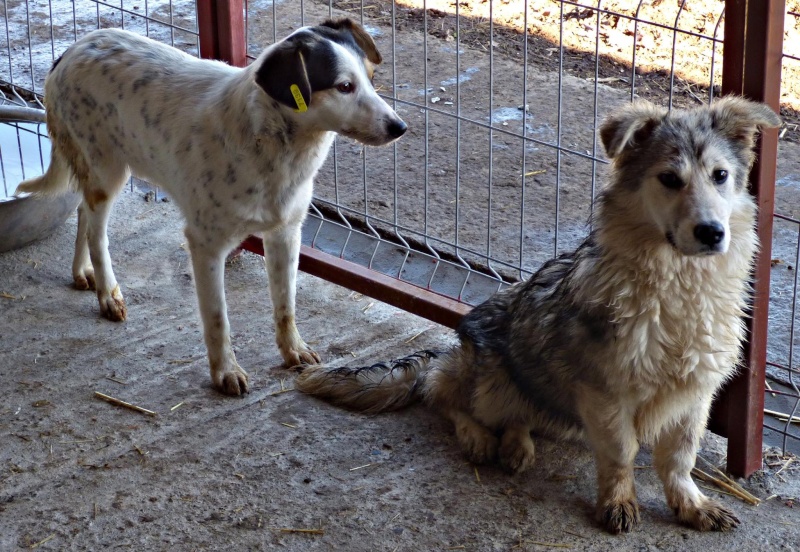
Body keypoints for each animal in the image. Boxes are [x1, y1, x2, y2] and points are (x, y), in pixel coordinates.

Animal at [14, 18, 406, 396]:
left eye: (371, 79)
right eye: (344, 86)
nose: (399, 127)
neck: (274, 147)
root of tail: (71, 50)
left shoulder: (285, 234)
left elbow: (286, 306)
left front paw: (292, 349)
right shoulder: (206, 246)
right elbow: (218, 318)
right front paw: (225, 372)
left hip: (99, 173)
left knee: (83, 211)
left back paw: (82, 272)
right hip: (107, 172)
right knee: (97, 232)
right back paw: (107, 294)